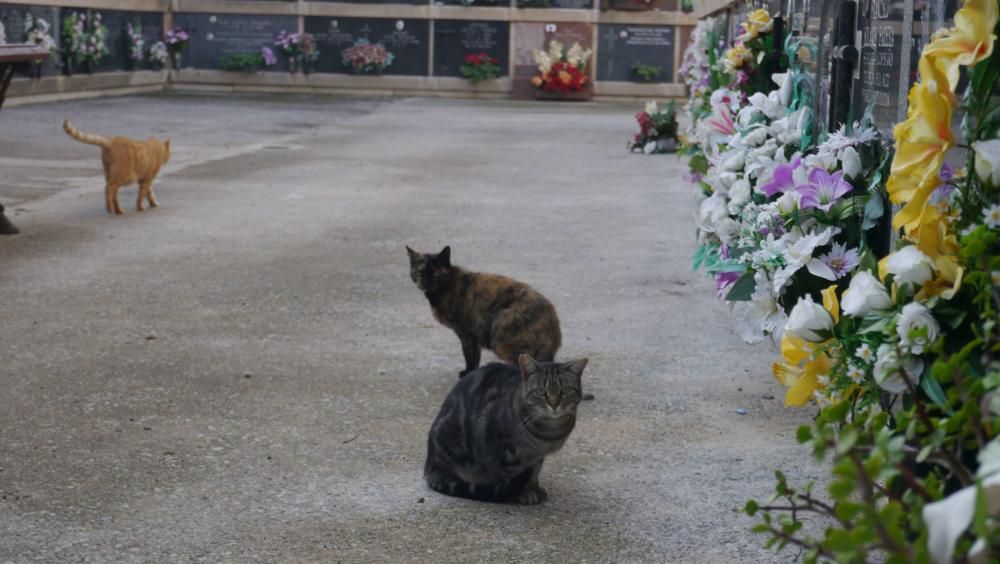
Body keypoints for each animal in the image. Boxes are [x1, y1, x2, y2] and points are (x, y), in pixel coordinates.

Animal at [406, 245, 564, 376]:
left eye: (435, 273)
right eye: (420, 272)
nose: (425, 283)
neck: (446, 286)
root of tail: (550, 318)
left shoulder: (466, 334)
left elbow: (469, 356)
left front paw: (467, 373)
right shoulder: (474, 336)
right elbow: (475, 357)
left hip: (502, 342)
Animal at [426, 354, 588, 504]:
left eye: (565, 391)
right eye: (541, 392)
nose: (554, 405)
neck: (548, 433)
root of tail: (429, 466)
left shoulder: (537, 456)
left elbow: (535, 472)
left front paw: (535, 488)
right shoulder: (507, 455)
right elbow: (513, 477)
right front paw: (521, 493)